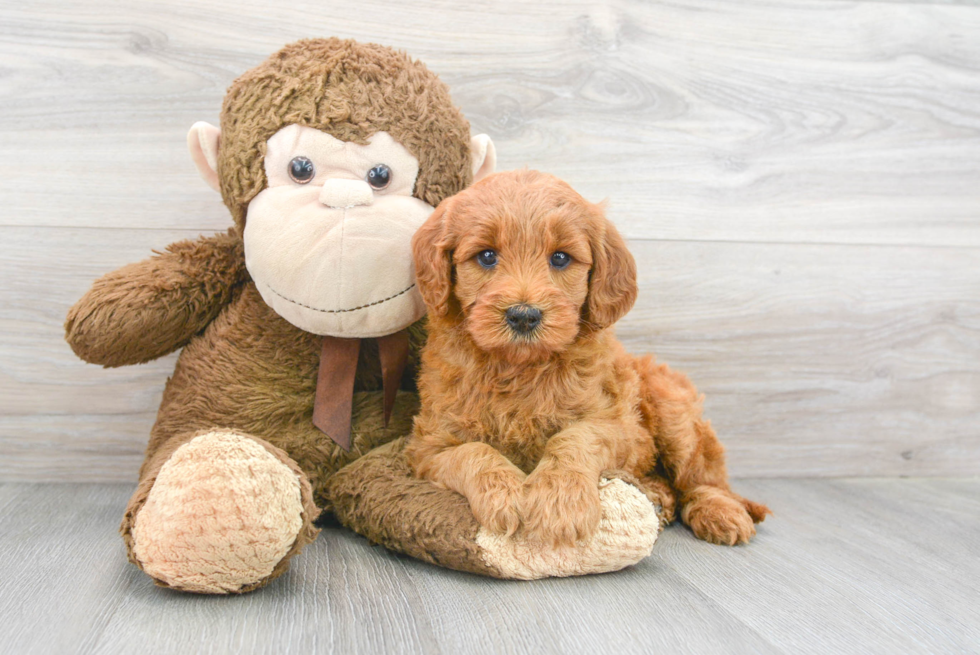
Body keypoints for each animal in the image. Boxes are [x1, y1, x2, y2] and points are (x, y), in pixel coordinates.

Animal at [402, 170, 768, 548]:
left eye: (561, 258)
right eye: (487, 256)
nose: (523, 316)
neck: (518, 367)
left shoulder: (617, 425)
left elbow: (574, 438)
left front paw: (559, 504)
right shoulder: (429, 446)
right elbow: (473, 453)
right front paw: (506, 494)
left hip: (673, 411)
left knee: (701, 478)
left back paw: (718, 512)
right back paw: (657, 497)